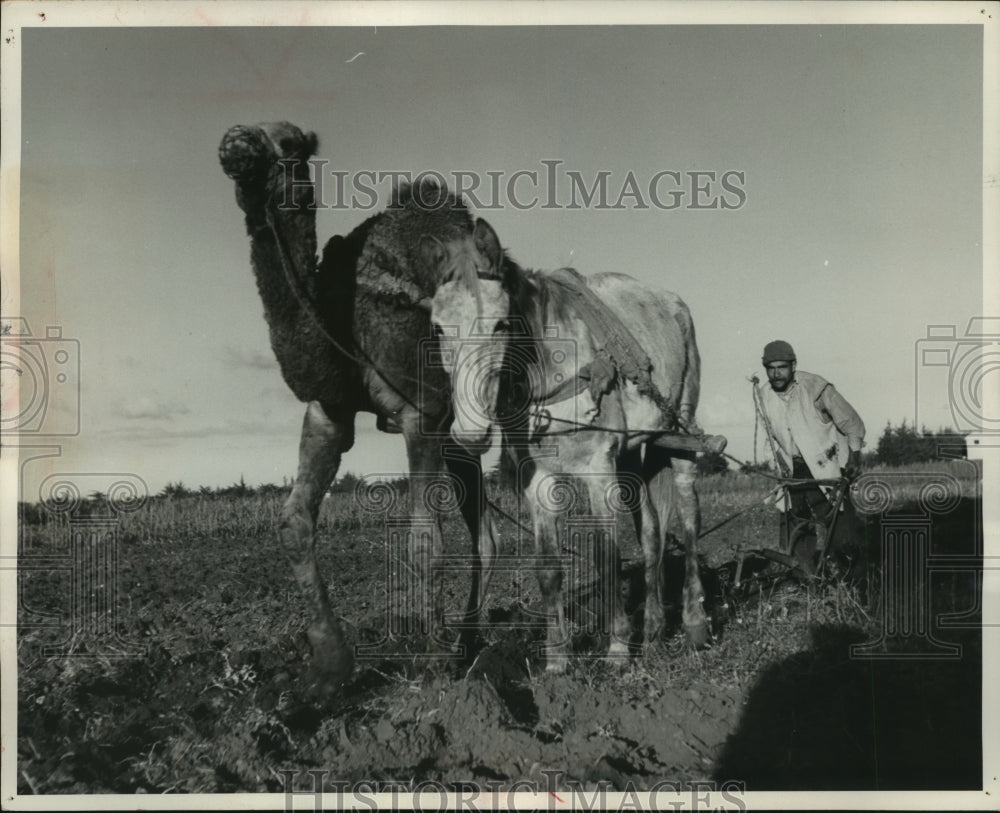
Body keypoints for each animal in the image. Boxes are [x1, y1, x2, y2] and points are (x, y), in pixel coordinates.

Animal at [221, 123, 498, 696]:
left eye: (289, 145)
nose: (236, 144)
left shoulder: (422, 412)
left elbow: (424, 538)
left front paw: (431, 662)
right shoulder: (329, 411)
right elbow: (293, 521)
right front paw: (328, 668)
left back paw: (468, 648)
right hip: (459, 435)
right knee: (485, 526)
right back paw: (468, 642)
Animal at [422, 217, 712, 672]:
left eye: (501, 325)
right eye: (437, 327)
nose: (470, 433)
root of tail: (672, 303)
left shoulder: (598, 468)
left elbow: (607, 556)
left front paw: (616, 650)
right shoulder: (537, 477)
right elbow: (548, 566)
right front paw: (557, 658)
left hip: (680, 436)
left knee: (688, 520)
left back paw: (694, 624)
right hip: (633, 454)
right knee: (651, 532)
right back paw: (652, 628)